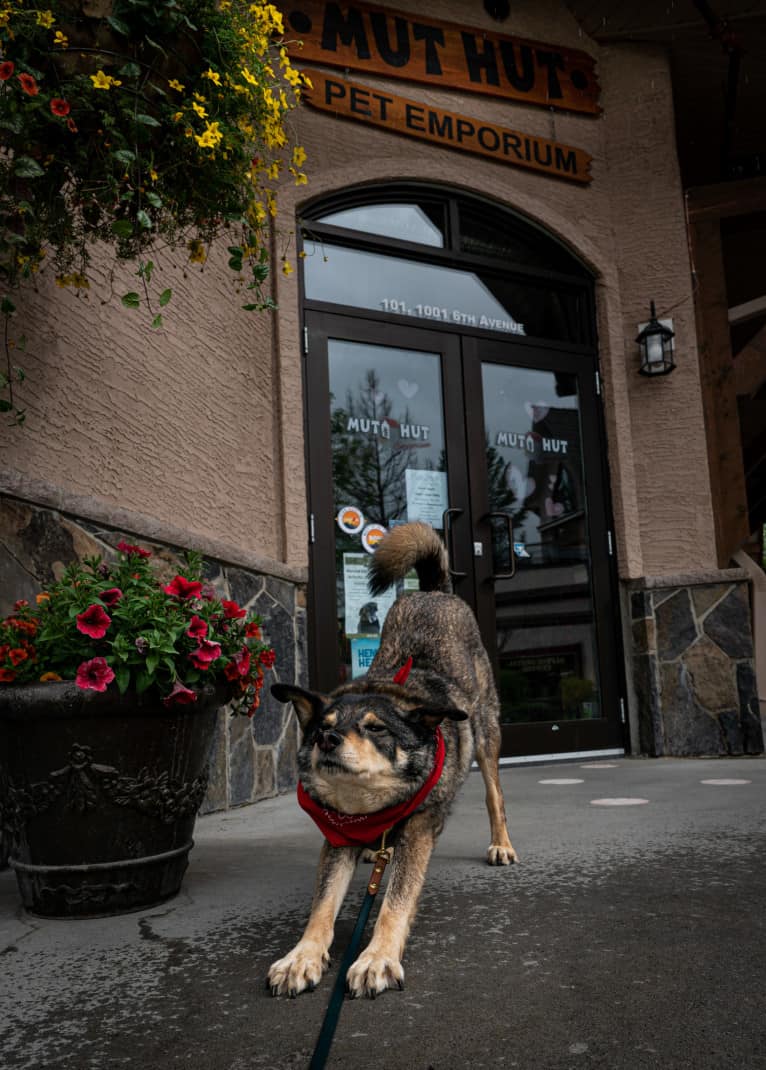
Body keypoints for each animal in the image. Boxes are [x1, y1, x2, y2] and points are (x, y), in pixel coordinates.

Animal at [267, 522, 515, 997]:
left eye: (376, 728)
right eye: (322, 725)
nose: (327, 739)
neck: (372, 807)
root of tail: (432, 591)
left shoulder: (418, 829)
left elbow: (395, 901)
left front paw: (377, 957)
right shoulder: (337, 838)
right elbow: (322, 906)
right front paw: (301, 956)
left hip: (488, 731)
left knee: (495, 792)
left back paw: (502, 844)